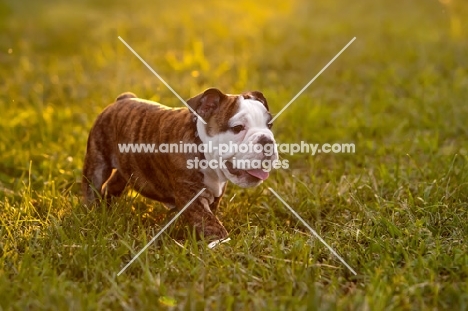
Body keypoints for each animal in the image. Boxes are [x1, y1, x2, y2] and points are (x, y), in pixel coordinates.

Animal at [82, 88, 278, 241]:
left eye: (269, 125)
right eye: (237, 128)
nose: (266, 140)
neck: (201, 144)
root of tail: (123, 99)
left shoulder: (215, 194)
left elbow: (210, 216)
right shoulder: (192, 195)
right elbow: (210, 223)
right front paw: (223, 246)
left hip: (126, 168)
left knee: (113, 185)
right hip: (98, 160)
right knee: (92, 185)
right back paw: (91, 213)